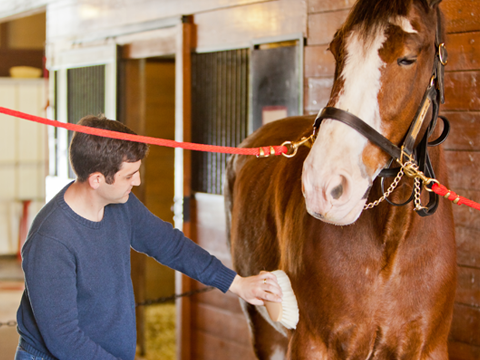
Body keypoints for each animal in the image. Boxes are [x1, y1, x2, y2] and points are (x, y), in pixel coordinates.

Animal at [225, 0, 458, 360]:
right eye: (337, 50)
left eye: (408, 58)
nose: (323, 187)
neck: (391, 246)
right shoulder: (312, 344)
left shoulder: (428, 348)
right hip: (261, 326)